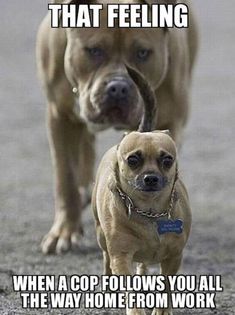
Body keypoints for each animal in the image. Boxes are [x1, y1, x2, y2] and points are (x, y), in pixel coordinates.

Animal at [37, 0, 198, 256]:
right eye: (94, 50)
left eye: (142, 53)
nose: (118, 88)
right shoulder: (60, 116)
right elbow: (66, 178)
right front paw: (65, 232)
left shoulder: (169, 124)